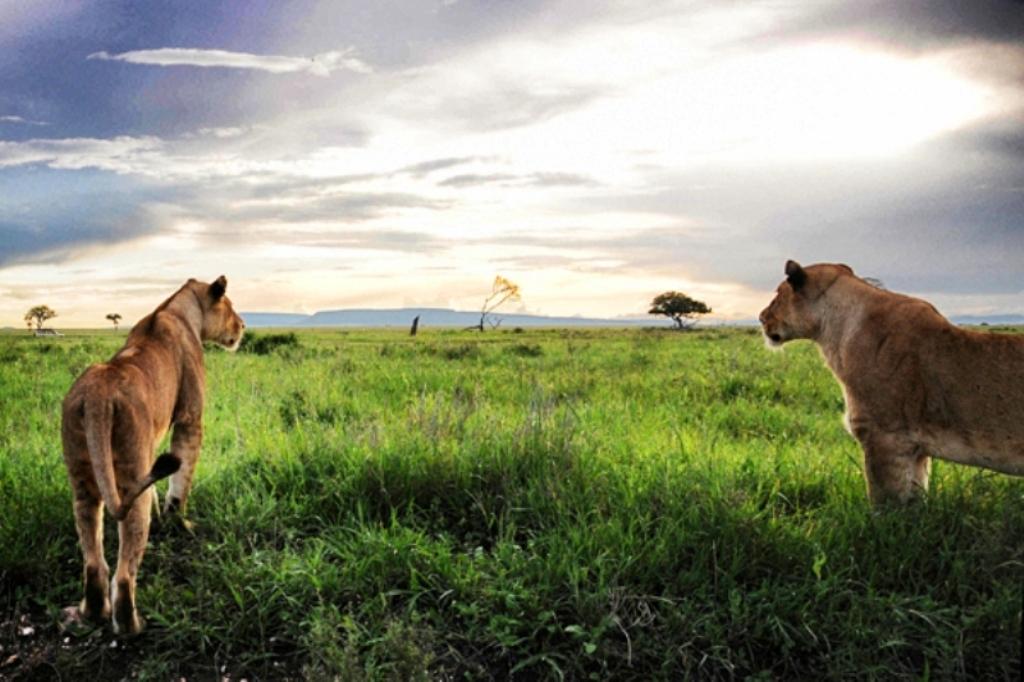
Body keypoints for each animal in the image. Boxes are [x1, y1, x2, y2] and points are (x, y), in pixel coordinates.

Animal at [61, 276, 244, 634]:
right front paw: (179, 520)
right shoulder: (190, 418)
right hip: (128, 474)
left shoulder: (152, 448)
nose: (243, 326)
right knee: (123, 573)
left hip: (84, 479)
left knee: (93, 558)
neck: (178, 309)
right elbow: (181, 476)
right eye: (230, 307)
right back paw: (130, 625)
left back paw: (91, 612)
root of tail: (97, 395)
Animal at [760, 260, 1024, 507]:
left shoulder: (885, 437)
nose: (761, 317)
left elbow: (883, 507)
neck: (836, 330)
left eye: (778, 294)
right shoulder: (915, 450)